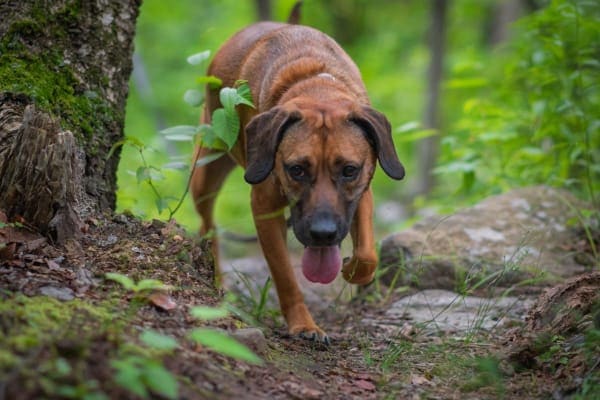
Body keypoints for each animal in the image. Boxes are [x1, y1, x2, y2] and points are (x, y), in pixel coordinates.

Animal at [192, 5, 406, 344]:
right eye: (296, 169)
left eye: (349, 170)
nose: (323, 233)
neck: (316, 87)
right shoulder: (264, 207)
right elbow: (285, 276)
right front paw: (304, 325)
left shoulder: (363, 191)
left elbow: (368, 252)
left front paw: (353, 269)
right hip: (207, 165)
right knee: (207, 223)